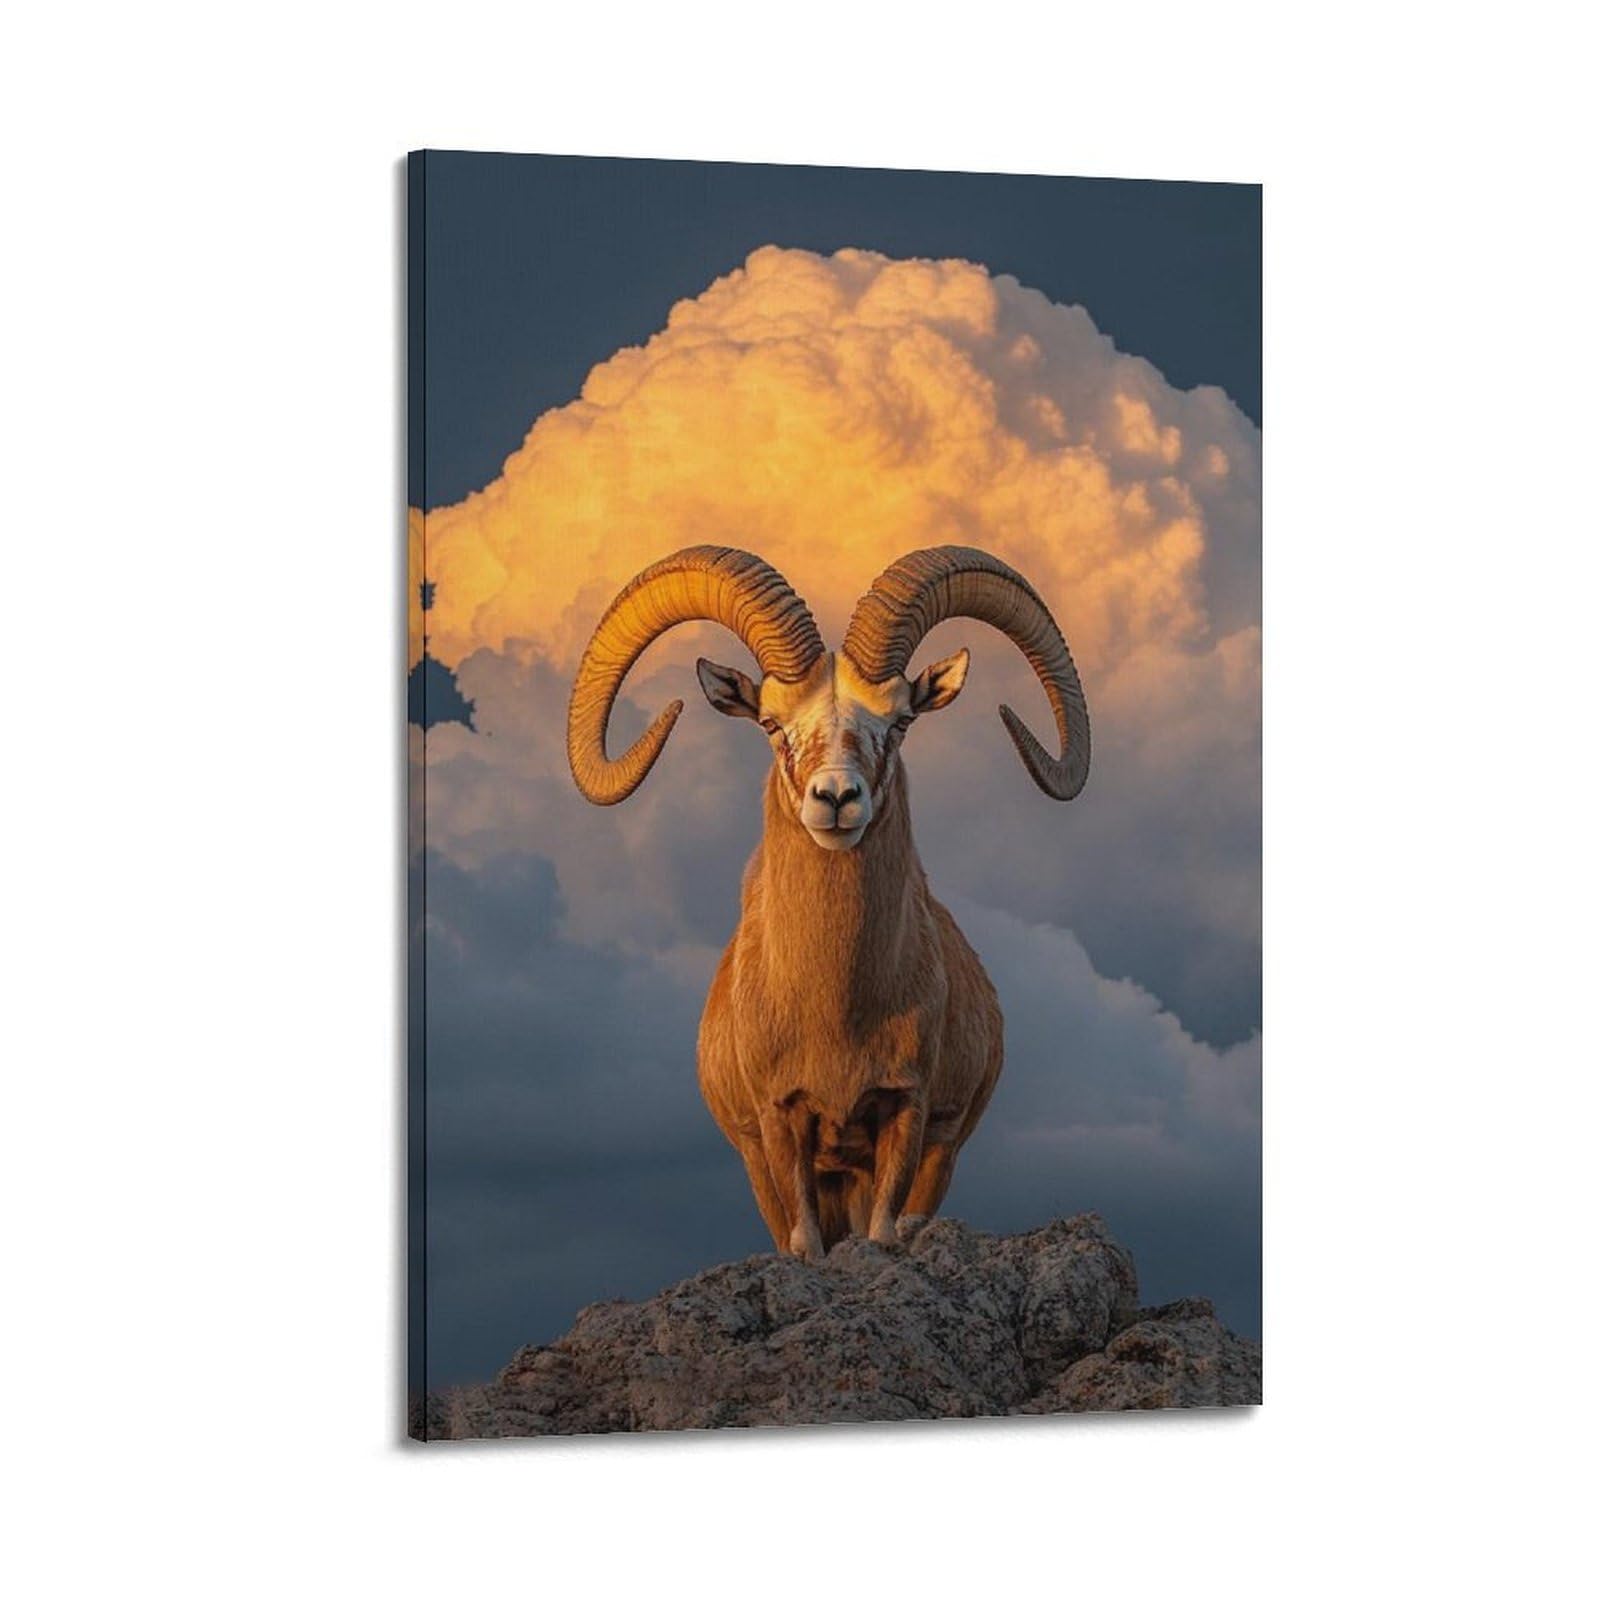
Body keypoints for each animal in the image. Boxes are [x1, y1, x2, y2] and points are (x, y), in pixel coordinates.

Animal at [567, 545, 1090, 1261]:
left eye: (900, 722)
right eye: (770, 722)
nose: (837, 799)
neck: (837, 1009)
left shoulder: (907, 1112)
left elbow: (883, 1227)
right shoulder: (778, 1125)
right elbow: (806, 1240)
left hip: (936, 1157)